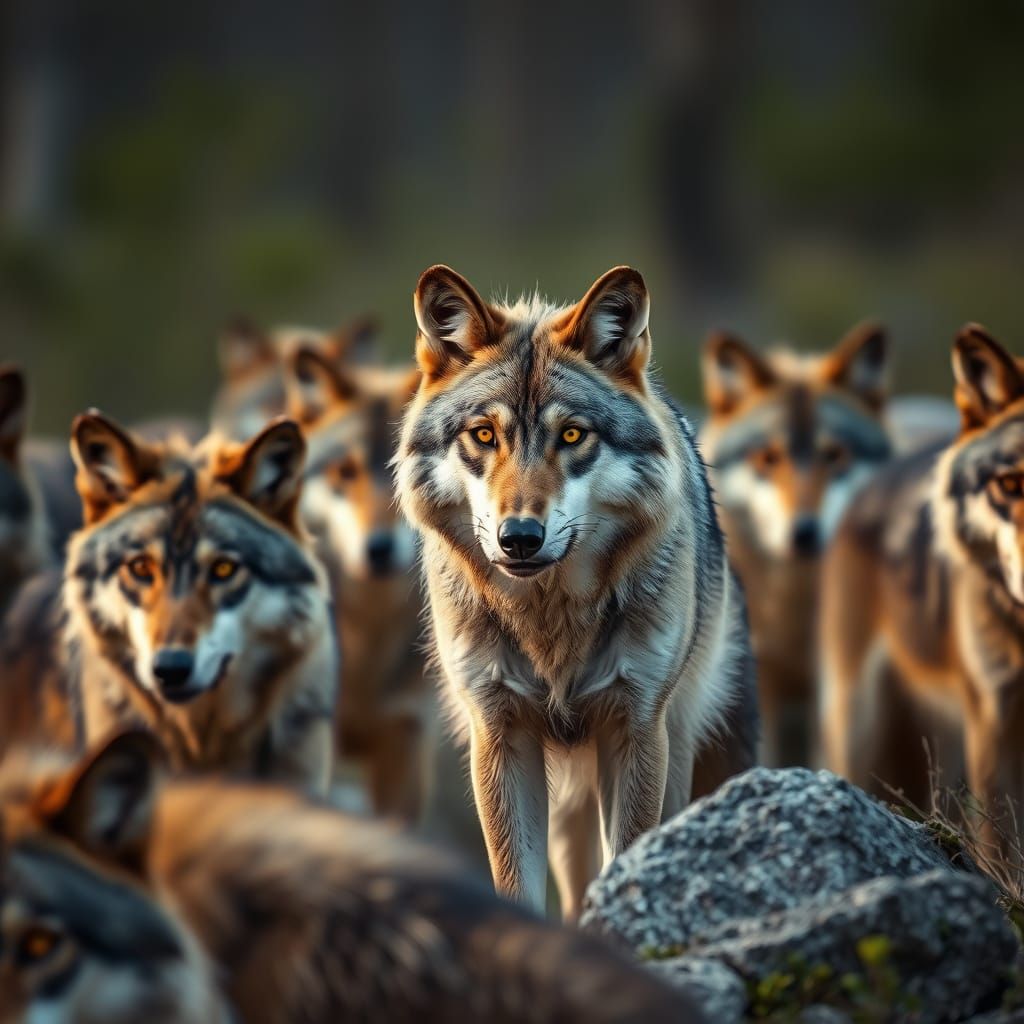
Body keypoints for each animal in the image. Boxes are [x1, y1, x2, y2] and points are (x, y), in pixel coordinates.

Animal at [397, 264, 758, 918]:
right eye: (483, 435)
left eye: (571, 435)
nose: (519, 538)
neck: (552, 619)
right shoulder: (500, 734)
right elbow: (517, 884)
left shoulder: (635, 727)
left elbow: (628, 860)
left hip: (683, 748)